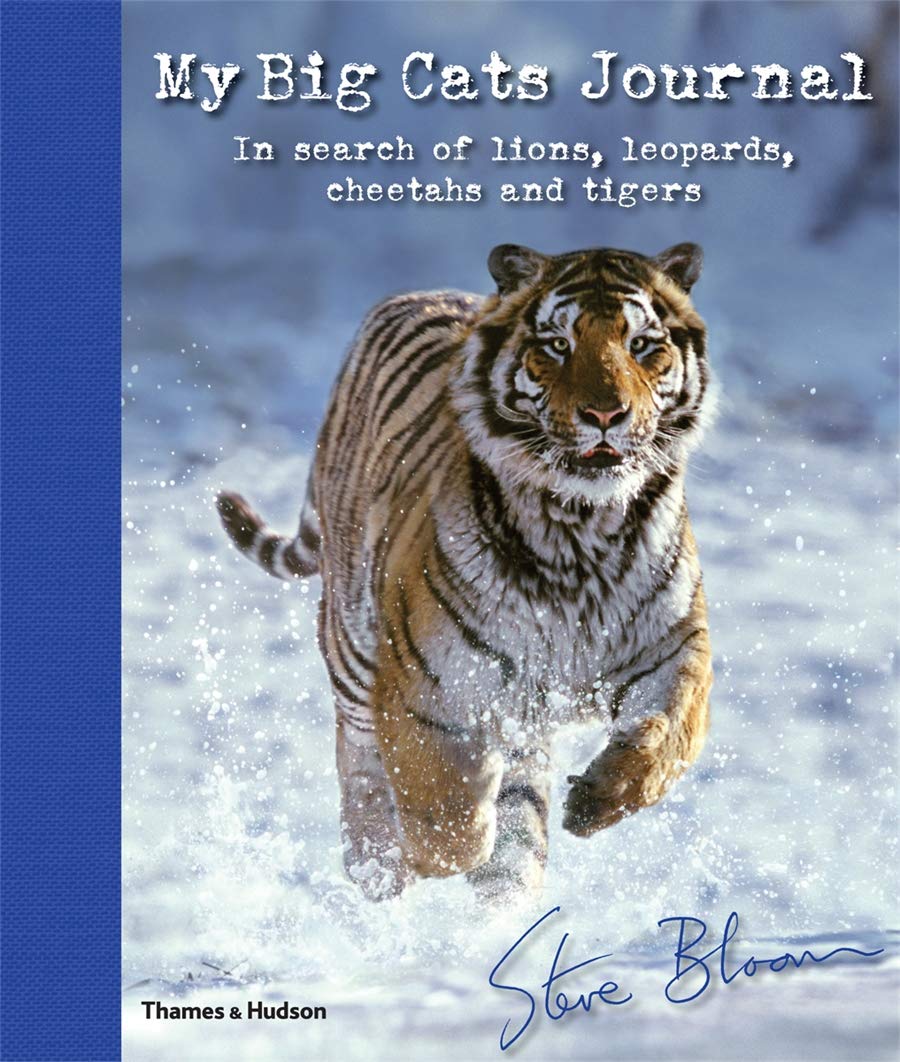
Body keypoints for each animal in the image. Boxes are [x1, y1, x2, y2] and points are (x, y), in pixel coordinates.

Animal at [217, 242, 714, 901]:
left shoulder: (674, 647)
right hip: (352, 647)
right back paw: (377, 867)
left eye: (641, 345)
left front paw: (597, 800)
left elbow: (672, 735)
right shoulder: (427, 689)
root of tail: (415, 294)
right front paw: (421, 854)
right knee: (358, 762)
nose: (606, 413)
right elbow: (448, 825)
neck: (580, 530)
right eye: (558, 345)